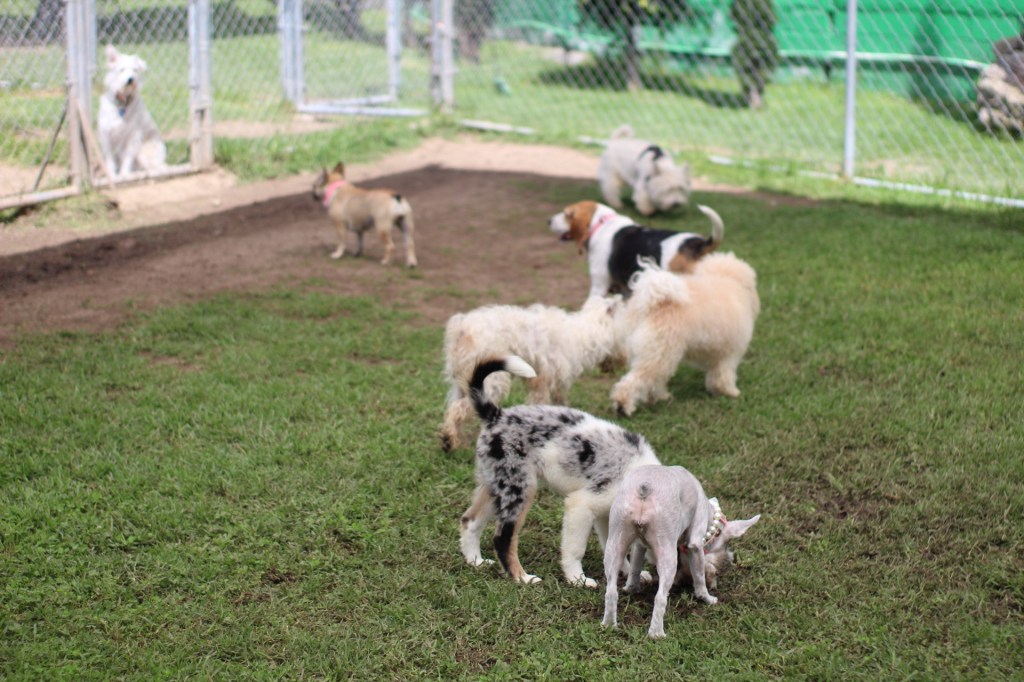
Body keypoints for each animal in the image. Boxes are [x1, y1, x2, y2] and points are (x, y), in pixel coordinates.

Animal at [98, 45, 167, 180]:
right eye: (122, 69)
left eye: (135, 70)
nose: (130, 80)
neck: (122, 102)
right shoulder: (106, 134)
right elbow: (109, 158)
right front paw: (112, 175)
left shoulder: (133, 136)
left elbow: (127, 157)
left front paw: (124, 174)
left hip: (144, 153)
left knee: (158, 167)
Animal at [440, 295, 622, 452]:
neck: (586, 333)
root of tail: (461, 328)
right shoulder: (543, 381)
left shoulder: (554, 383)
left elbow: (560, 402)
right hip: (490, 382)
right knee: (459, 408)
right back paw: (449, 439)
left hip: (461, 381)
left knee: (453, 409)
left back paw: (452, 441)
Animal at [459, 356, 661, 587]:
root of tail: (495, 415)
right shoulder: (581, 506)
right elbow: (575, 550)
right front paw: (577, 579)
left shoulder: (607, 515)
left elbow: (615, 550)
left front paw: (628, 573)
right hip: (520, 489)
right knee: (503, 538)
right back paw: (522, 577)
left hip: (496, 485)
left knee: (470, 521)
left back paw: (475, 561)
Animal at [602, 464, 760, 638]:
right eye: (725, 544)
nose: (729, 558)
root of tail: (645, 487)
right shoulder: (696, 545)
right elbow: (699, 577)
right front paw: (707, 598)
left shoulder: (639, 545)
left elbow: (635, 569)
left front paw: (632, 589)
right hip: (667, 552)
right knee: (660, 597)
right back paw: (656, 634)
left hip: (615, 541)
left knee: (611, 590)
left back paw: (609, 624)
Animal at [611, 254, 759, 416]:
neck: (726, 279)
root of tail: (653, 303)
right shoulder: (728, 353)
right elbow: (723, 374)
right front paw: (730, 392)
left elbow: (715, 372)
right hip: (660, 352)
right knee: (634, 381)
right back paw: (623, 405)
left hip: (650, 353)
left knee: (652, 379)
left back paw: (659, 397)